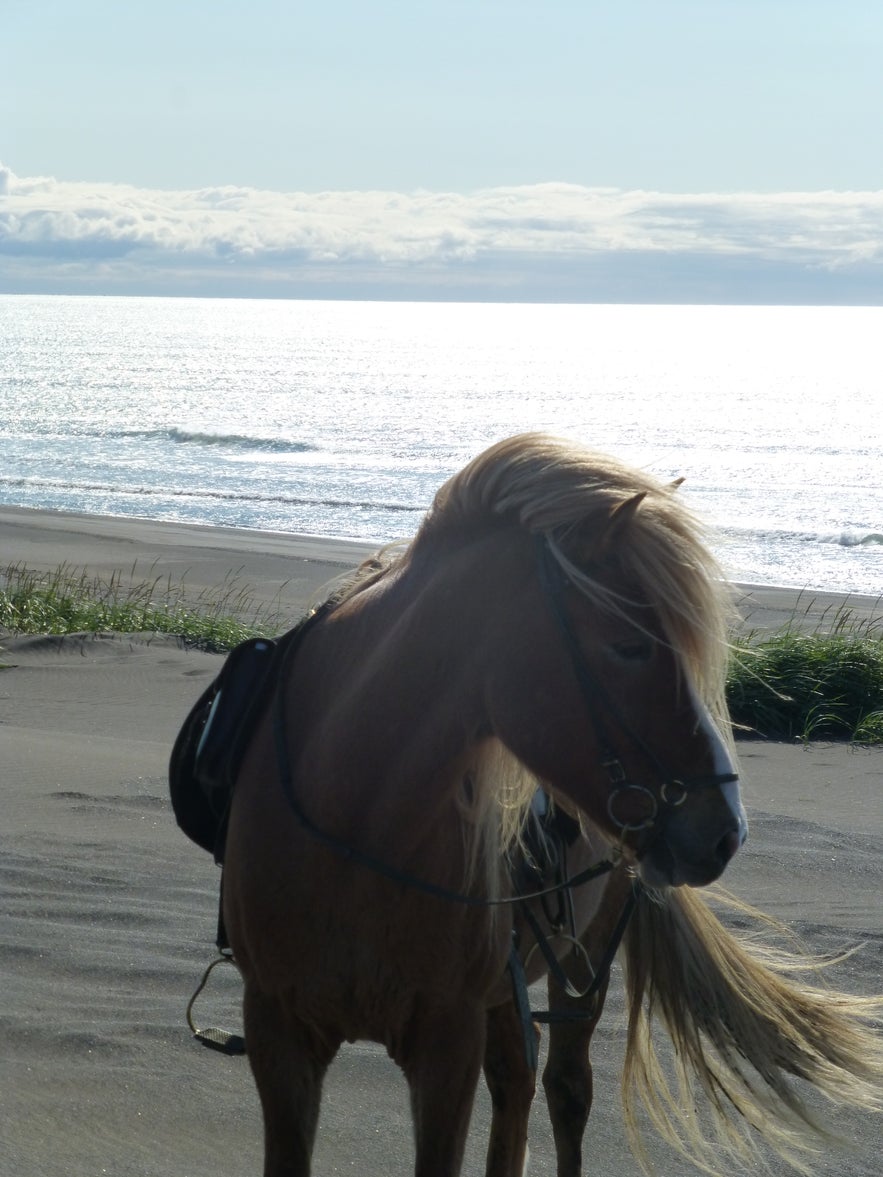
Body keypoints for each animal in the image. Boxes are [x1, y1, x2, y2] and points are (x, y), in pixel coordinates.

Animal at [216, 437, 883, 1177]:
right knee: (516, 1088)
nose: (724, 832)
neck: (354, 825)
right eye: (629, 645)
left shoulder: (446, 1047)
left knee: (563, 1090)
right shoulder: (276, 1033)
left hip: (581, 965)